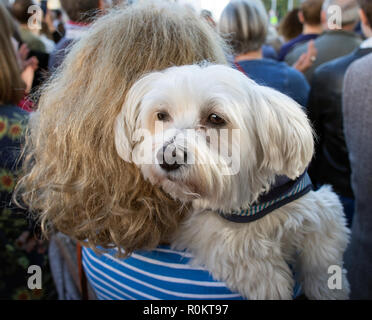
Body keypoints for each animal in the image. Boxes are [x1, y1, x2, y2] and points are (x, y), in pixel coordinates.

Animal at [115, 65, 350, 300]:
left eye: (215, 118)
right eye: (162, 115)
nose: (168, 158)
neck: (251, 200)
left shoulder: (320, 205)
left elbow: (323, 252)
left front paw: (329, 288)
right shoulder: (206, 229)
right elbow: (240, 251)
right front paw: (272, 282)